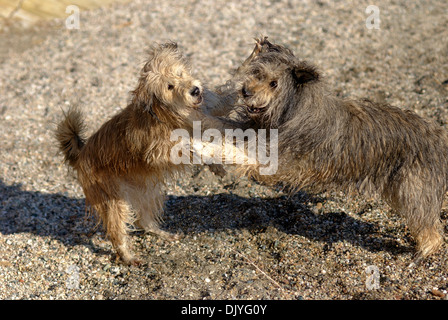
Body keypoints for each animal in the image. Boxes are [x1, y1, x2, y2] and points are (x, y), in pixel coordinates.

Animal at [57, 41, 228, 264]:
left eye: (180, 73)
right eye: (169, 86)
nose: (195, 90)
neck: (167, 114)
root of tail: (81, 154)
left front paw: (217, 166)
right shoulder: (159, 153)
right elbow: (190, 148)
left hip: (146, 191)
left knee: (143, 221)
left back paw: (162, 234)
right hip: (113, 199)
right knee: (117, 231)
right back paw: (128, 257)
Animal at [234, 38, 448, 262]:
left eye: (273, 83)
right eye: (257, 73)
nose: (246, 91)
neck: (292, 110)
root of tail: (440, 138)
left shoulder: (292, 162)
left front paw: (243, 162)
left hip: (414, 192)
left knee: (430, 229)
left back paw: (422, 252)